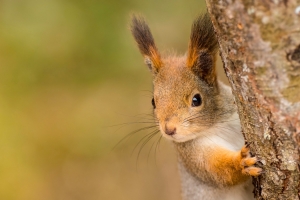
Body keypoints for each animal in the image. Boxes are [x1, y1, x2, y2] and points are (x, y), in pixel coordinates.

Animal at [130, 12, 262, 200]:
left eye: (197, 100)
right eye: (153, 102)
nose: (169, 129)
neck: (216, 124)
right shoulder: (193, 156)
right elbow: (219, 172)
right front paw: (241, 163)